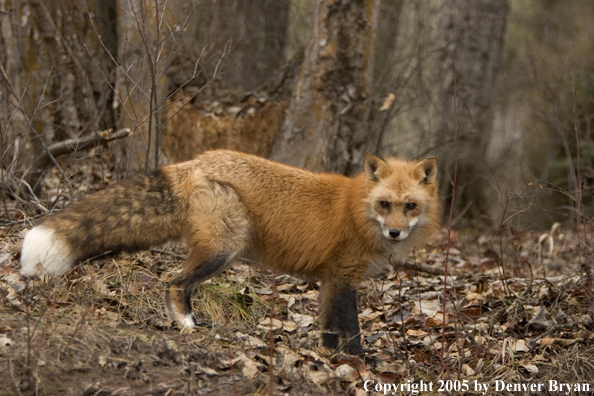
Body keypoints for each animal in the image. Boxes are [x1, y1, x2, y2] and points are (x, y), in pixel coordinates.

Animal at [20, 150, 438, 354]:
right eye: (385, 204)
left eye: (409, 206)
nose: (396, 232)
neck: (359, 212)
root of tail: (194, 162)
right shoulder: (342, 277)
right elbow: (349, 329)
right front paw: (356, 363)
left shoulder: (331, 280)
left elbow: (327, 329)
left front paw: (330, 358)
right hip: (225, 249)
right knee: (174, 282)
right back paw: (187, 324)